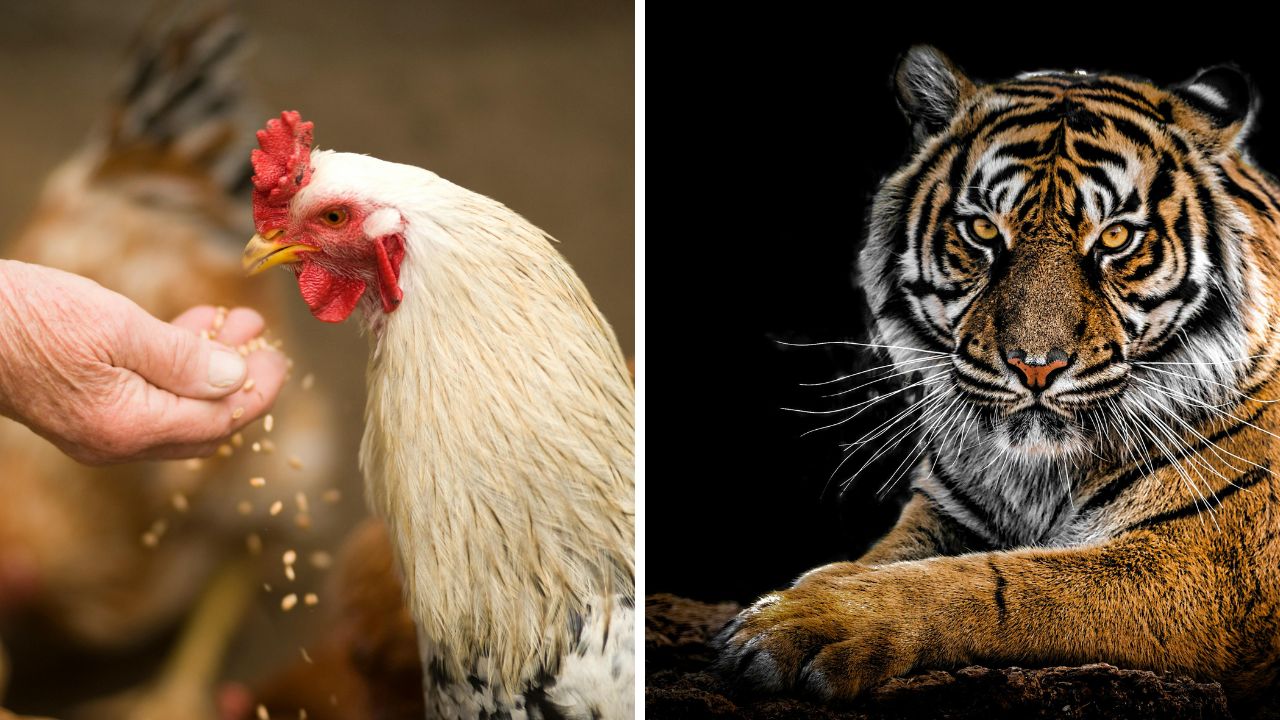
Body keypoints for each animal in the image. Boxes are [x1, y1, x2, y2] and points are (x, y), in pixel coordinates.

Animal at [715, 46, 1280, 706]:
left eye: (1116, 236)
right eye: (984, 230)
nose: (1036, 366)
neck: (1036, 474)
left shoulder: (1206, 567)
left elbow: (1001, 583)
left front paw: (801, 621)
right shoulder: (943, 512)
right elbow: (886, 557)